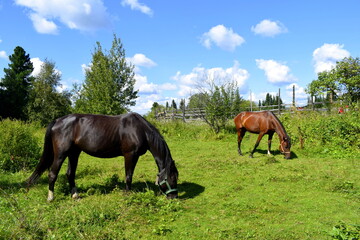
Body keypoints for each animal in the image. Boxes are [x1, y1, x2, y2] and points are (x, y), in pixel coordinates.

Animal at [27, 112, 179, 201]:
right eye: (172, 178)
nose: (174, 196)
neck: (140, 130)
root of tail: (57, 121)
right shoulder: (130, 155)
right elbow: (128, 176)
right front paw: (127, 194)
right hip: (61, 153)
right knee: (52, 174)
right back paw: (51, 198)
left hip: (74, 152)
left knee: (70, 174)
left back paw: (75, 196)